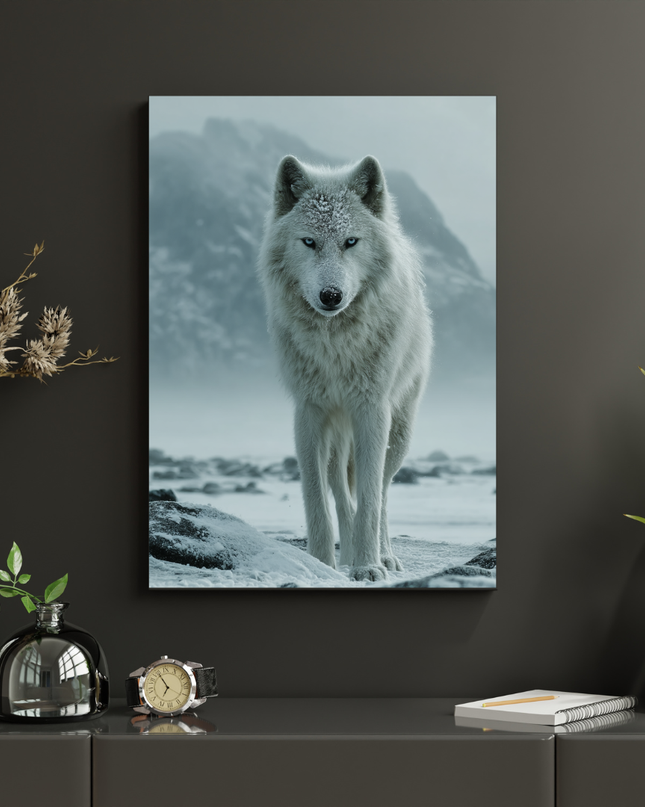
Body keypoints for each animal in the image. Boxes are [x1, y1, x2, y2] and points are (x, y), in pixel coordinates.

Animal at [258, 155, 432, 582]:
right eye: (309, 242)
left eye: (351, 241)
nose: (331, 296)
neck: (335, 344)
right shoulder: (309, 412)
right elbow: (316, 496)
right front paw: (321, 562)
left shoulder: (371, 410)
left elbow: (370, 498)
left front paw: (368, 566)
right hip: (339, 436)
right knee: (340, 488)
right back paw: (349, 549)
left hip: (397, 433)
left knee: (382, 491)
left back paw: (382, 555)